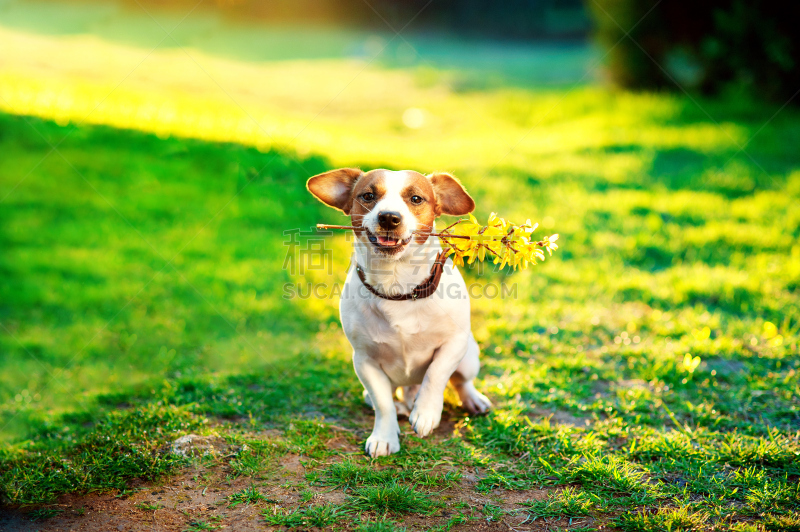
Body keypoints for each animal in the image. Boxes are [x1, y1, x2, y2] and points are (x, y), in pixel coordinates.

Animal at [308, 169, 490, 458]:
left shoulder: (454, 343)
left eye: (416, 198)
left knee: (461, 381)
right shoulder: (364, 361)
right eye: (368, 196)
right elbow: (383, 403)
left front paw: (426, 413)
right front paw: (383, 437)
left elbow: (436, 373)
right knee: (389, 397)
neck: (397, 287)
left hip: (469, 357)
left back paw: (471, 400)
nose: (389, 217)